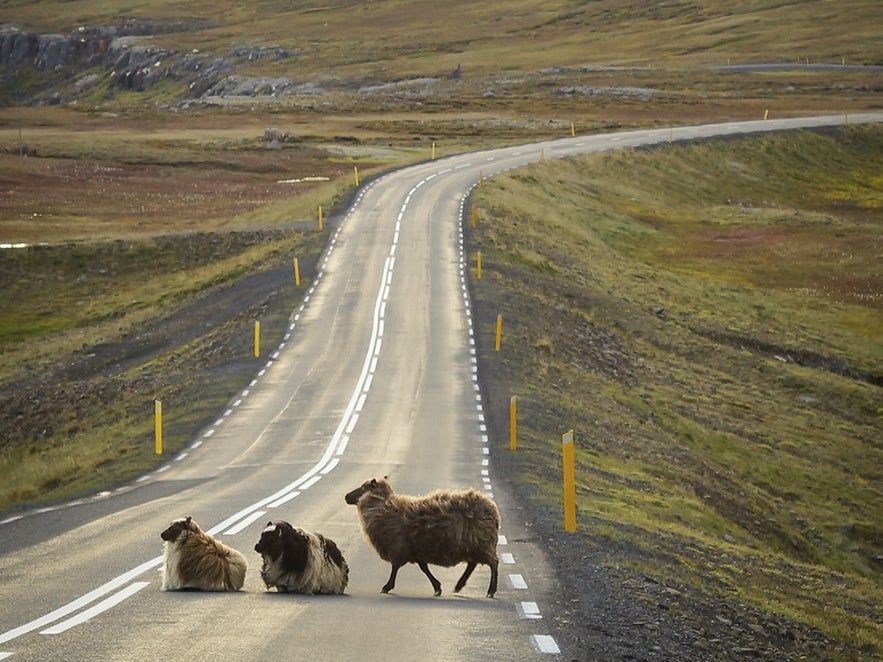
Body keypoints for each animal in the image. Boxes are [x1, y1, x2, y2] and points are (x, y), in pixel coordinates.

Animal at [342, 474, 500, 600]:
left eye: (363, 488)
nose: (346, 497)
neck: (381, 507)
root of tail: (492, 507)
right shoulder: (415, 549)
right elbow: (424, 568)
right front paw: (437, 588)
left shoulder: (399, 547)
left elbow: (396, 567)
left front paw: (387, 587)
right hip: (473, 545)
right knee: (472, 564)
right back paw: (459, 585)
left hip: (482, 542)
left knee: (493, 563)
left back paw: (490, 591)